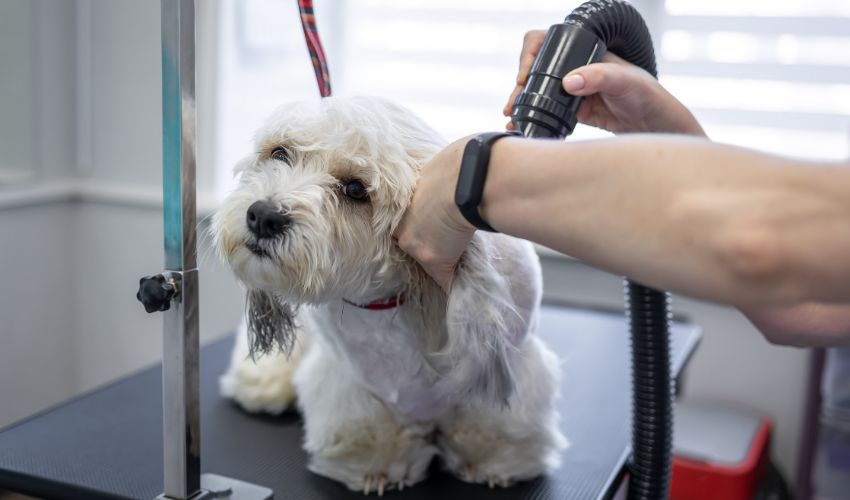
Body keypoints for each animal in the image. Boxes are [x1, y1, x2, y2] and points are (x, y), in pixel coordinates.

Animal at [214, 95, 564, 494]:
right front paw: (373, 465)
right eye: (280, 153)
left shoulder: (515, 355)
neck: (402, 296)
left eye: (355, 189)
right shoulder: (352, 381)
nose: (264, 216)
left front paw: (494, 457)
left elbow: (494, 422)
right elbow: (366, 425)